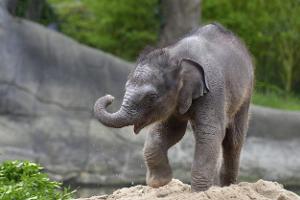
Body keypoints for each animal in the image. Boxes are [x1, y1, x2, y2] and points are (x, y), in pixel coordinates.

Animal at [94, 23, 253, 192]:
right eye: (126, 87)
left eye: (151, 96)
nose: (110, 98)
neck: (177, 56)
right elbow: (171, 131)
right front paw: (159, 182)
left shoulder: (213, 90)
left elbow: (209, 132)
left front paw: (198, 192)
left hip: (246, 93)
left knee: (233, 140)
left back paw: (227, 186)